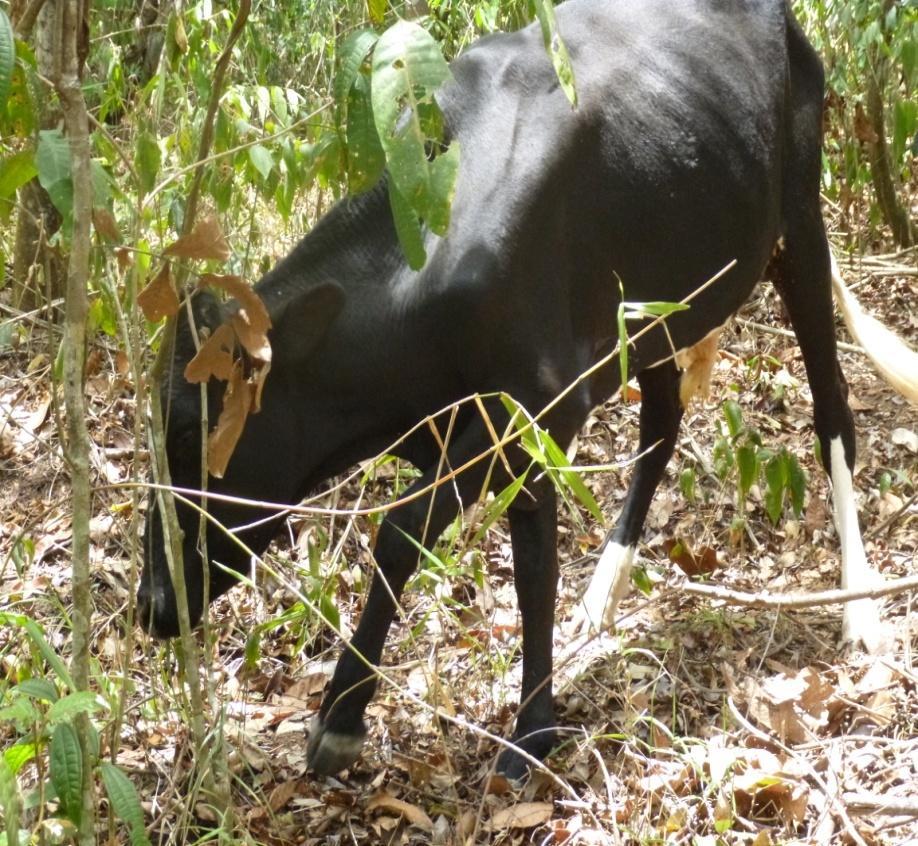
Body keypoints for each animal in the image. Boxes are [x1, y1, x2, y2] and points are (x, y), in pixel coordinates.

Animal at [140, 0, 908, 780]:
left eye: (188, 431)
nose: (151, 605)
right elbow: (498, 546)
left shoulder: (538, 407)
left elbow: (444, 542)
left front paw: (510, 730)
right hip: (652, 313)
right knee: (663, 424)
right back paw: (601, 599)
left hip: (799, 227)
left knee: (832, 410)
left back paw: (860, 608)